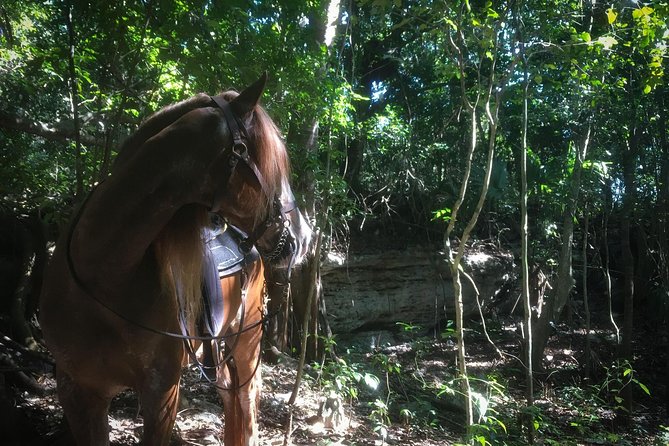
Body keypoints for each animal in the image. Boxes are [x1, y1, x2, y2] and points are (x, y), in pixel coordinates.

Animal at [39, 74, 311, 446]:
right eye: (271, 165)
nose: (304, 236)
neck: (104, 275)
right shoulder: (77, 390)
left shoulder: (162, 393)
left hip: (246, 342)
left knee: (244, 400)